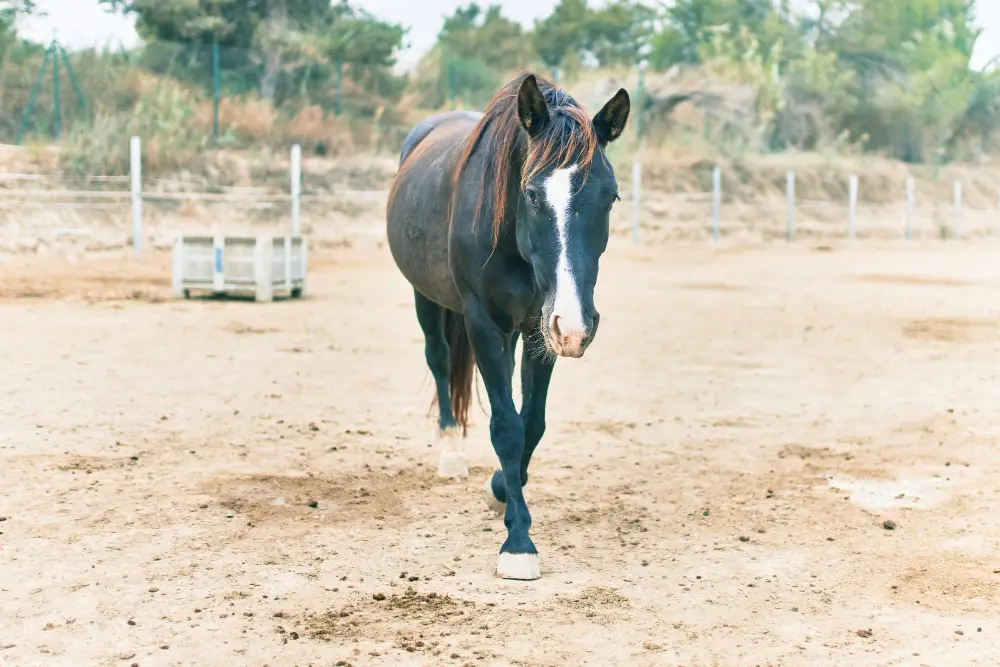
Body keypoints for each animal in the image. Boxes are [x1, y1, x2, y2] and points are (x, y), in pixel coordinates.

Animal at [385, 73, 630, 580]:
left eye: (611, 197)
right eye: (533, 194)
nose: (578, 324)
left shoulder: (542, 329)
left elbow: (531, 422)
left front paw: (502, 486)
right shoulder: (484, 324)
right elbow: (507, 427)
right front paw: (518, 543)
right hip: (427, 299)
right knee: (440, 362)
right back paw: (451, 452)